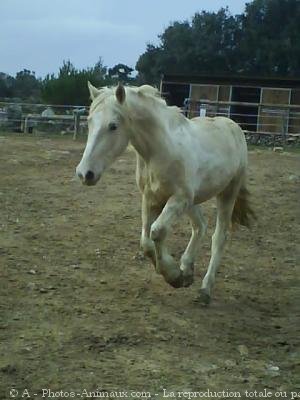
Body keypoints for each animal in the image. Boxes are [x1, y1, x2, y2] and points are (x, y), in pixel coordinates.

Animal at [75, 82, 253, 304]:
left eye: (113, 126)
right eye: (89, 121)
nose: (84, 173)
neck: (160, 150)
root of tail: (233, 126)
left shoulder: (178, 199)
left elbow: (157, 231)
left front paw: (174, 276)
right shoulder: (151, 199)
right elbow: (146, 242)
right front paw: (180, 275)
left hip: (226, 193)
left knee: (219, 237)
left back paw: (205, 289)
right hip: (193, 201)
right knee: (200, 226)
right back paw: (187, 268)